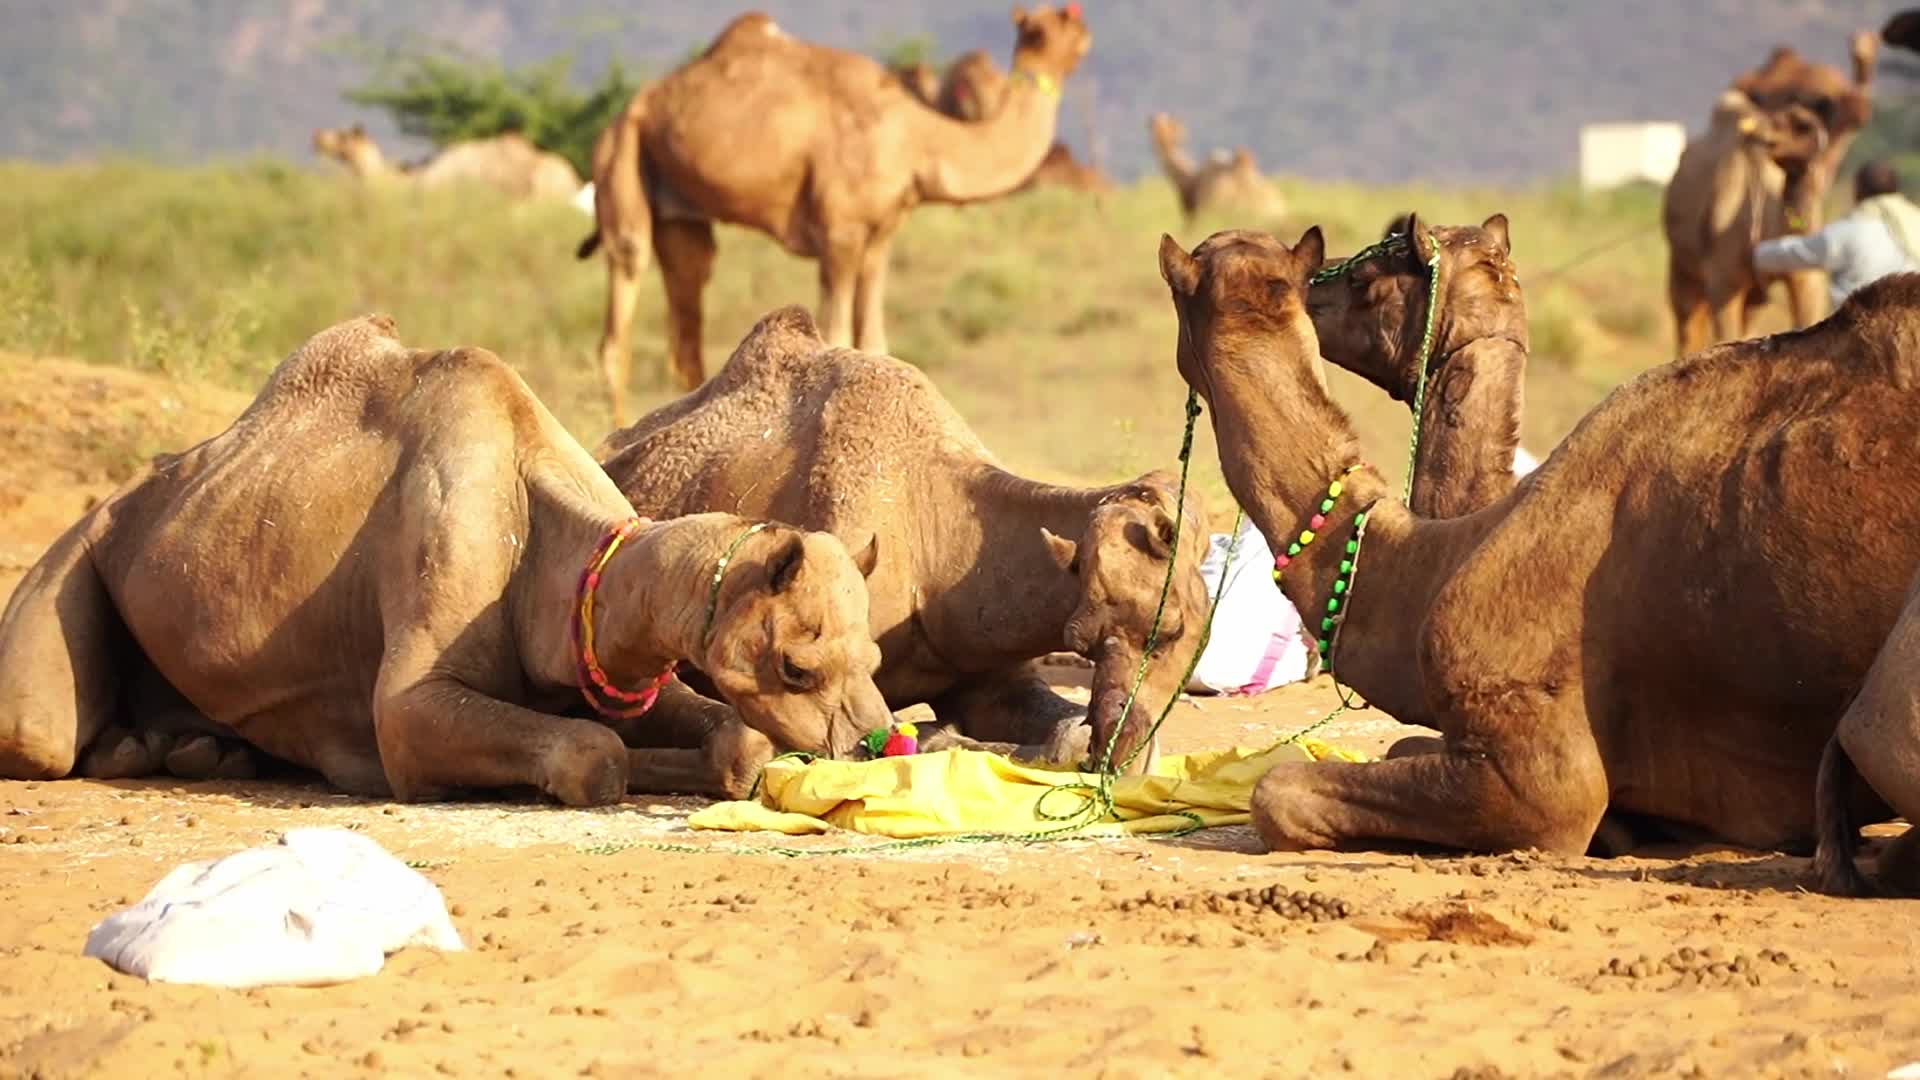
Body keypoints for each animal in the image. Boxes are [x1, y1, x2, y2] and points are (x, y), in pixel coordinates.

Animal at [0, 314, 892, 804]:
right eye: (797, 666)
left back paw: (181, 753)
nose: (874, 746)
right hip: (75, 552)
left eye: (877, 660)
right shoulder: (413, 688)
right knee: (37, 732)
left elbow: (735, 745)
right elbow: (592, 755)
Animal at [577, 8, 1091, 421]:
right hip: (620, 157)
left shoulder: (880, 238)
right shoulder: (839, 233)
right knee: (620, 307)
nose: (1081, 28)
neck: (918, 140)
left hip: (678, 208)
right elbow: (839, 336)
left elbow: (875, 342)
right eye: (1039, 29)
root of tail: (630, 108)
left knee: (687, 307)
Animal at [1157, 226, 1920, 856]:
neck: (1433, 562)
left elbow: (1279, 792)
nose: (1315, 291)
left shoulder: (1541, 769)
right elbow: (1400, 744)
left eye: (1375, 272)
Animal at [1662, 34, 1877, 357]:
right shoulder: (1722, 278)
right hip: (1683, 266)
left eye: (1803, 125)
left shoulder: (1805, 278)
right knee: (1687, 322)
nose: (1763, 135)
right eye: (1777, 122)